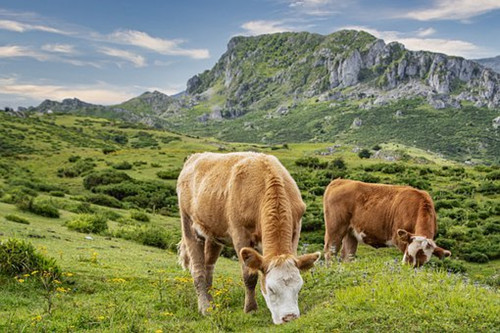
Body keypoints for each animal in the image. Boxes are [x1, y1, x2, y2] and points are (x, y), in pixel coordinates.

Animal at [177, 152, 320, 322]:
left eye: (299, 286)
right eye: (271, 289)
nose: (289, 317)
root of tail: (195, 157)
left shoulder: (296, 228)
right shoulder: (240, 234)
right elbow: (249, 275)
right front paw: (251, 309)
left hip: (213, 234)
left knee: (208, 268)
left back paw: (212, 304)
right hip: (188, 223)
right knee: (198, 270)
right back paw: (205, 308)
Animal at [322, 178, 452, 266]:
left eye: (422, 262)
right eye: (408, 255)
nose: (407, 268)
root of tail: (340, 181)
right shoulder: (400, 239)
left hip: (351, 232)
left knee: (347, 255)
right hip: (335, 228)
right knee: (330, 251)